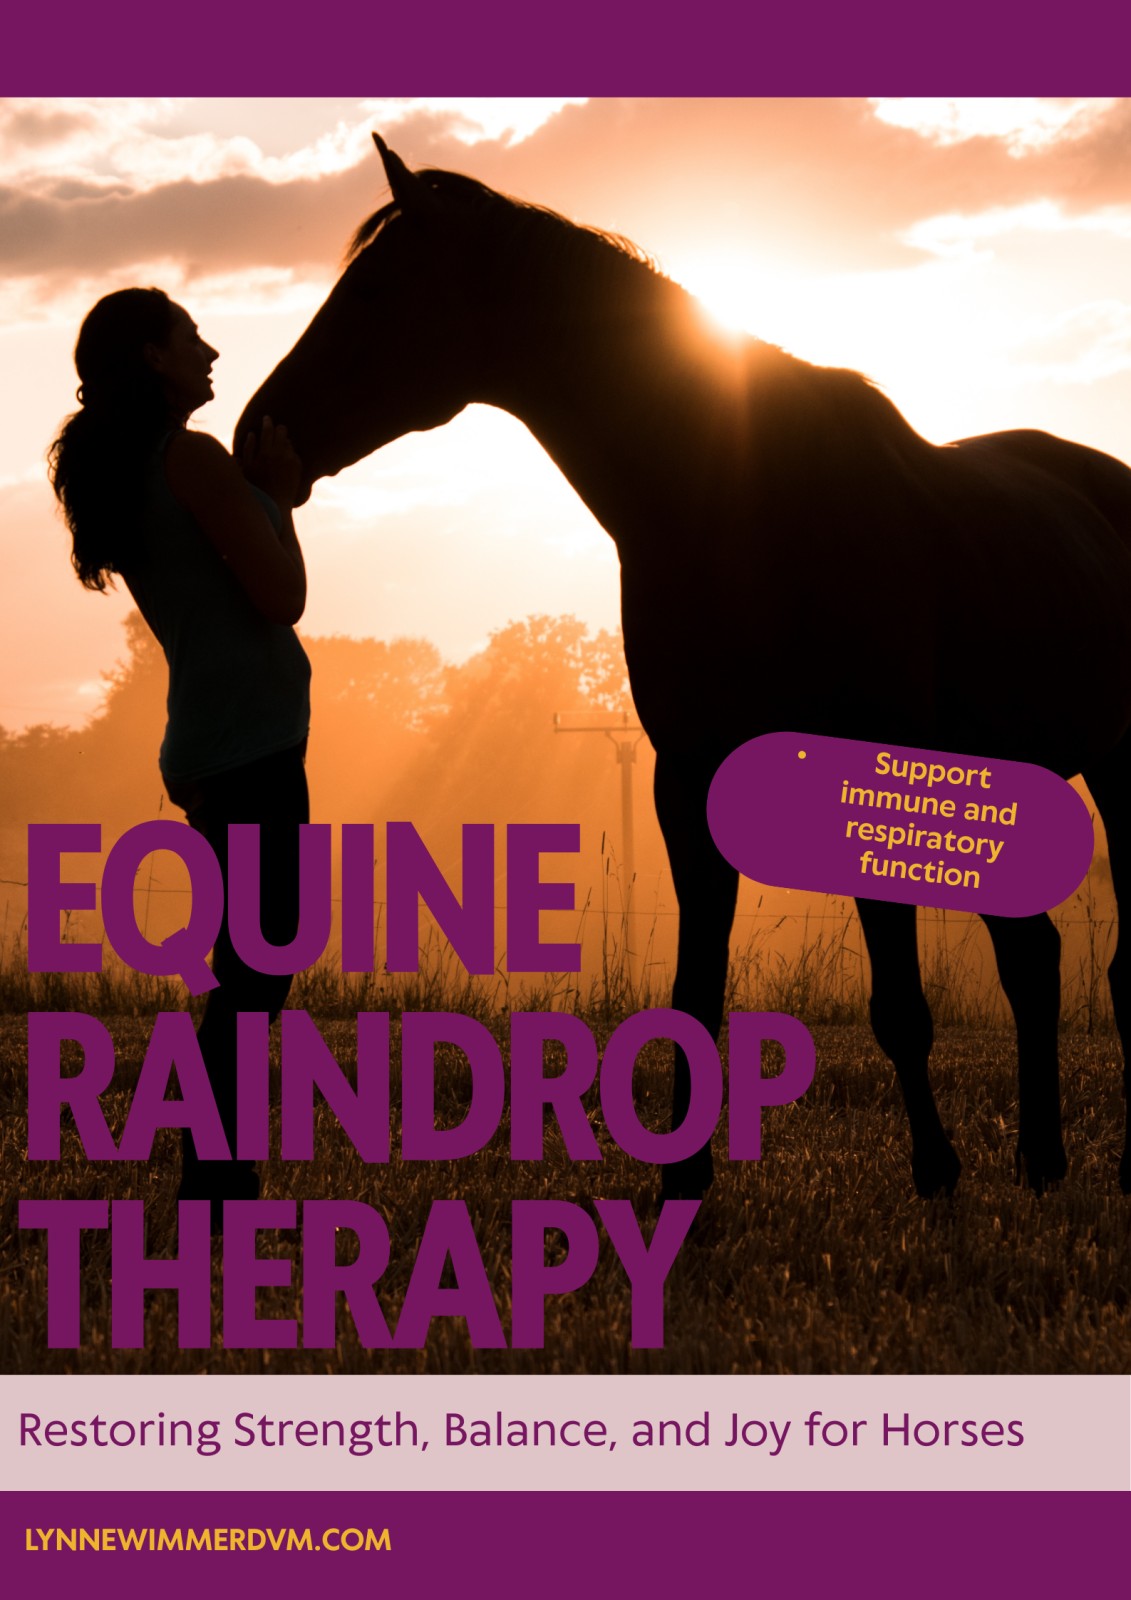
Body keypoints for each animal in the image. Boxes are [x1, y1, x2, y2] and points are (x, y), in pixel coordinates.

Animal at [236, 135, 1131, 1200]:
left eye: (375, 291)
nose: (254, 434)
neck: (747, 502)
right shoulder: (686, 778)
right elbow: (695, 990)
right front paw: (684, 1184)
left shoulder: (865, 775)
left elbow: (898, 1003)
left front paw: (935, 1174)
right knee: (1033, 957)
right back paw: (1041, 1161)